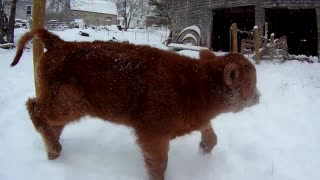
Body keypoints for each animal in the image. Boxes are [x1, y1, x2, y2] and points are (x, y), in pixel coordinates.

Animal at [11, 28, 260, 179]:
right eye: (251, 81)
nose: (258, 96)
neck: (197, 83)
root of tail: (59, 43)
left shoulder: (196, 120)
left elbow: (211, 136)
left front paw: (203, 150)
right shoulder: (152, 134)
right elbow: (159, 164)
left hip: (67, 107)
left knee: (50, 122)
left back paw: (53, 150)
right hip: (66, 103)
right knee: (34, 108)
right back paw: (54, 149)